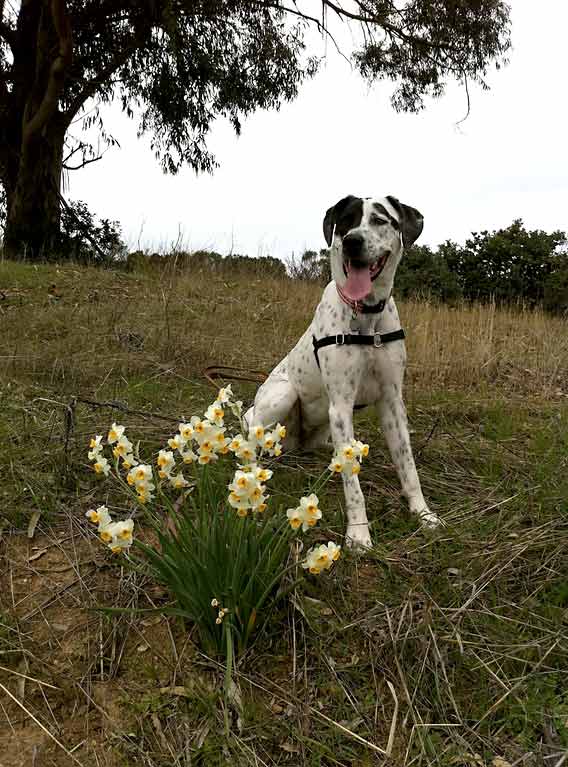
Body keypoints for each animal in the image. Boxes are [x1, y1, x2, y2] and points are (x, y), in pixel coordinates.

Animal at [244, 195, 440, 548]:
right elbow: (353, 486)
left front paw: (423, 514)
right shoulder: (341, 405)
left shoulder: (393, 402)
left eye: (379, 220)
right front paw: (358, 535)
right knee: (253, 434)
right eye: (346, 221)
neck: (367, 318)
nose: (352, 242)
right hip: (282, 395)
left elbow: (408, 466)